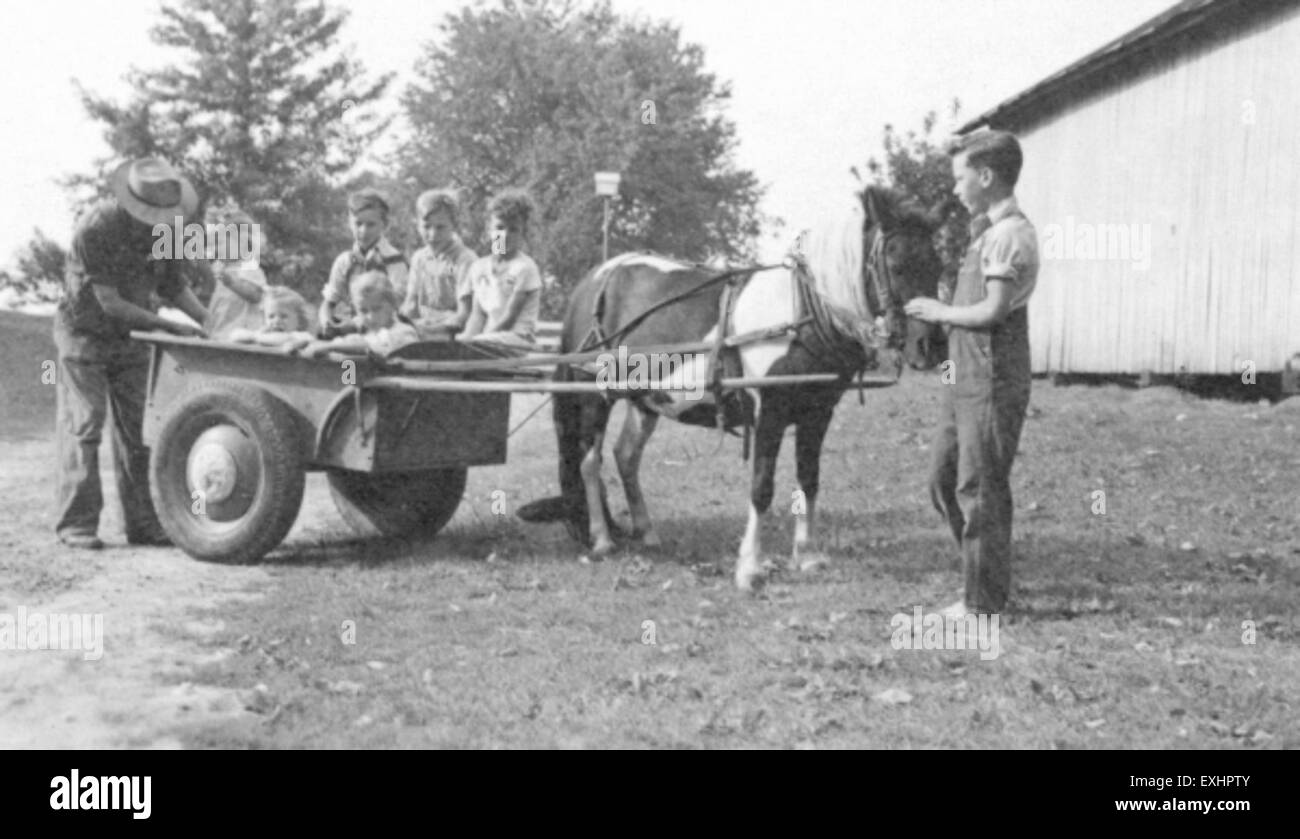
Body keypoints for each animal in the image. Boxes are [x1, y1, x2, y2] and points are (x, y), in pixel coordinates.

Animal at [512, 183, 951, 587]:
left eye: (937, 264)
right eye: (896, 264)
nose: (930, 346)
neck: (801, 313)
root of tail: (596, 278)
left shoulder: (817, 414)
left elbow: (809, 481)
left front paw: (806, 556)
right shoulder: (768, 413)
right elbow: (762, 488)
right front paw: (749, 567)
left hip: (645, 399)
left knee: (626, 457)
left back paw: (647, 531)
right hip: (595, 396)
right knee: (589, 461)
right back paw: (602, 538)